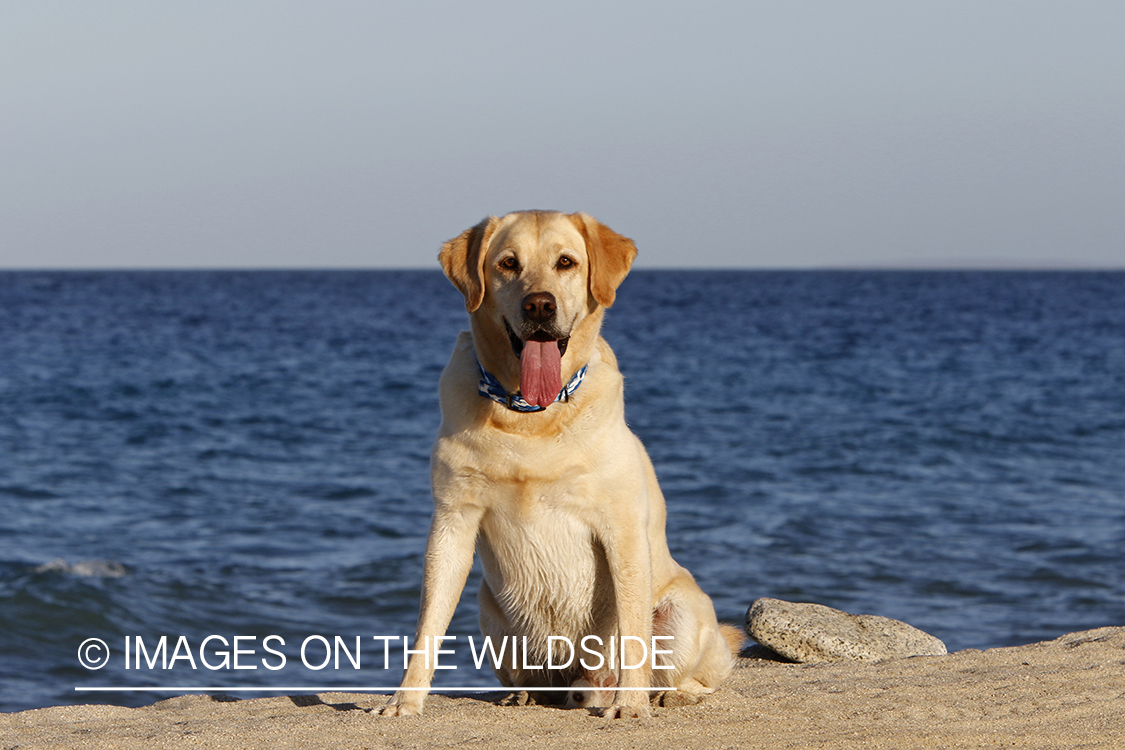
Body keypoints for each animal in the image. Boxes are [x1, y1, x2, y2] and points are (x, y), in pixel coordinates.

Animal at [382, 212, 742, 719]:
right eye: (508, 263)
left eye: (566, 262)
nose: (539, 305)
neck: (530, 415)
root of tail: (588, 683)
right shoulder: (452, 520)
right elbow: (428, 625)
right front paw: (405, 699)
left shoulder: (621, 529)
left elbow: (633, 633)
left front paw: (631, 705)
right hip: (494, 615)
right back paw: (527, 694)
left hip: (682, 611)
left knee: (702, 669)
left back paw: (668, 693)